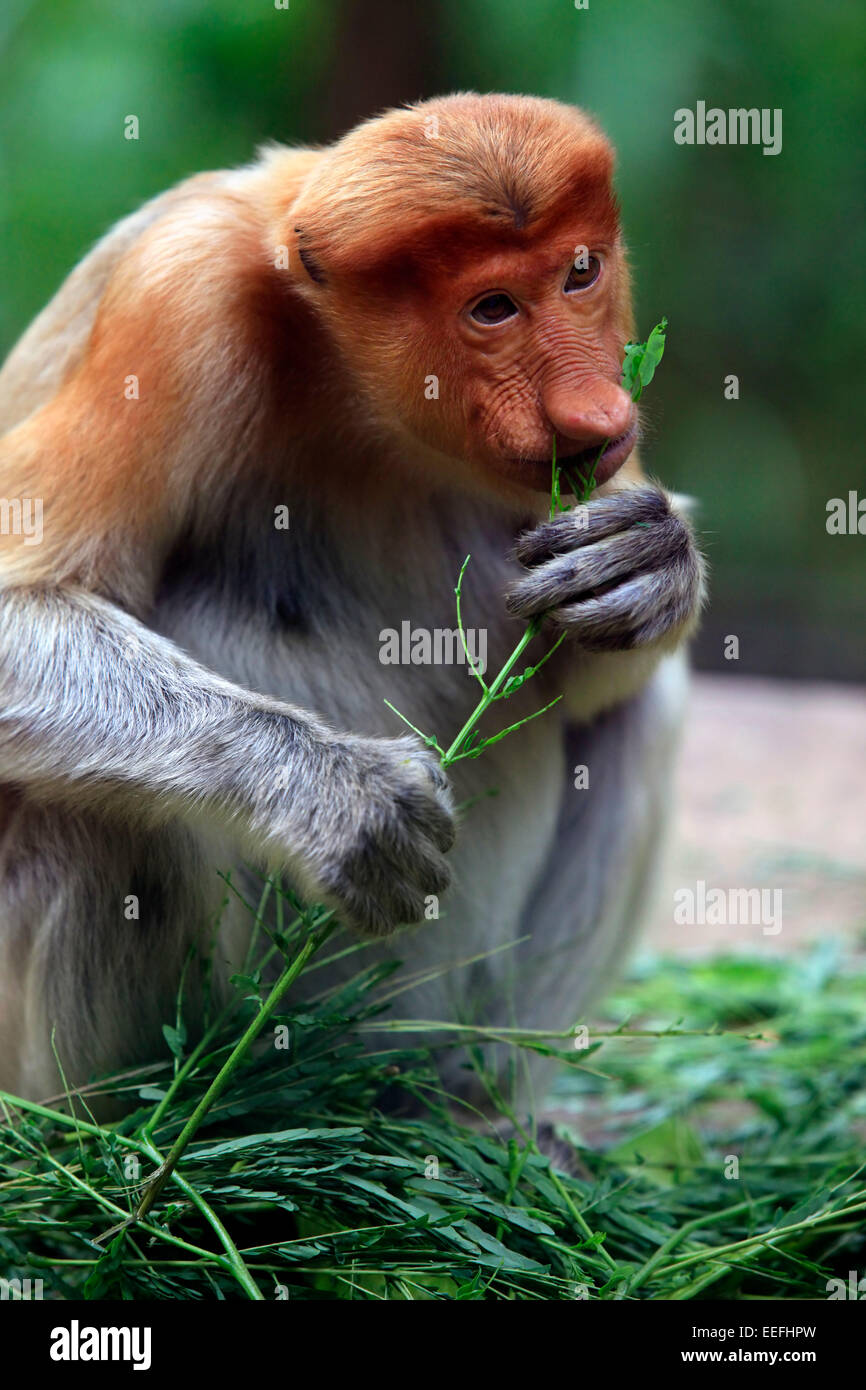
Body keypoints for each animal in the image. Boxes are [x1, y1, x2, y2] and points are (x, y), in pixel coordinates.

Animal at [0, 92, 706, 1100]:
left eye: (581, 272)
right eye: (493, 308)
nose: (598, 412)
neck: (334, 350)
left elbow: (586, 668)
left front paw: (648, 565)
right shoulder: (175, 300)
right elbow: (28, 599)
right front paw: (346, 802)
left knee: (641, 711)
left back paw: (475, 1103)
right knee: (93, 808)